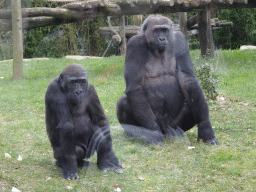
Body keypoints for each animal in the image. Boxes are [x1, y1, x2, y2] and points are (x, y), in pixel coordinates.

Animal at [117, 15, 217, 146]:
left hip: (173, 124)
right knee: (123, 102)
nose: (162, 38)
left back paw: (176, 133)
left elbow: (187, 80)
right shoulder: (134, 44)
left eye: (164, 30)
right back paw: (137, 134)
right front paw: (153, 134)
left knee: (191, 102)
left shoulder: (180, 39)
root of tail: (166, 132)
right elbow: (135, 86)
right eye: (156, 30)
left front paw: (206, 128)